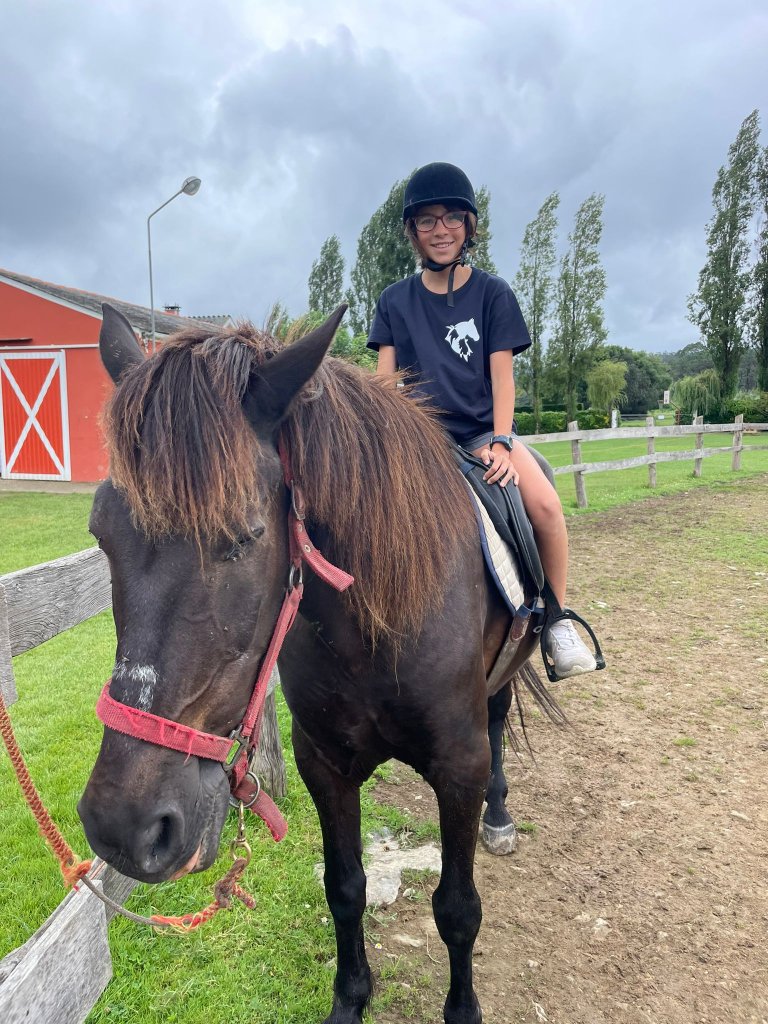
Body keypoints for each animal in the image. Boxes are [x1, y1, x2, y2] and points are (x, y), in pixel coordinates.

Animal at [79, 303, 557, 1024]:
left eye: (245, 536)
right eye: (101, 532)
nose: (123, 827)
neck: (377, 628)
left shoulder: (458, 767)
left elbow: (457, 908)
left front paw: (463, 1008)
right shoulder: (324, 766)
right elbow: (345, 887)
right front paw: (350, 997)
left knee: (500, 724)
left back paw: (499, 819)